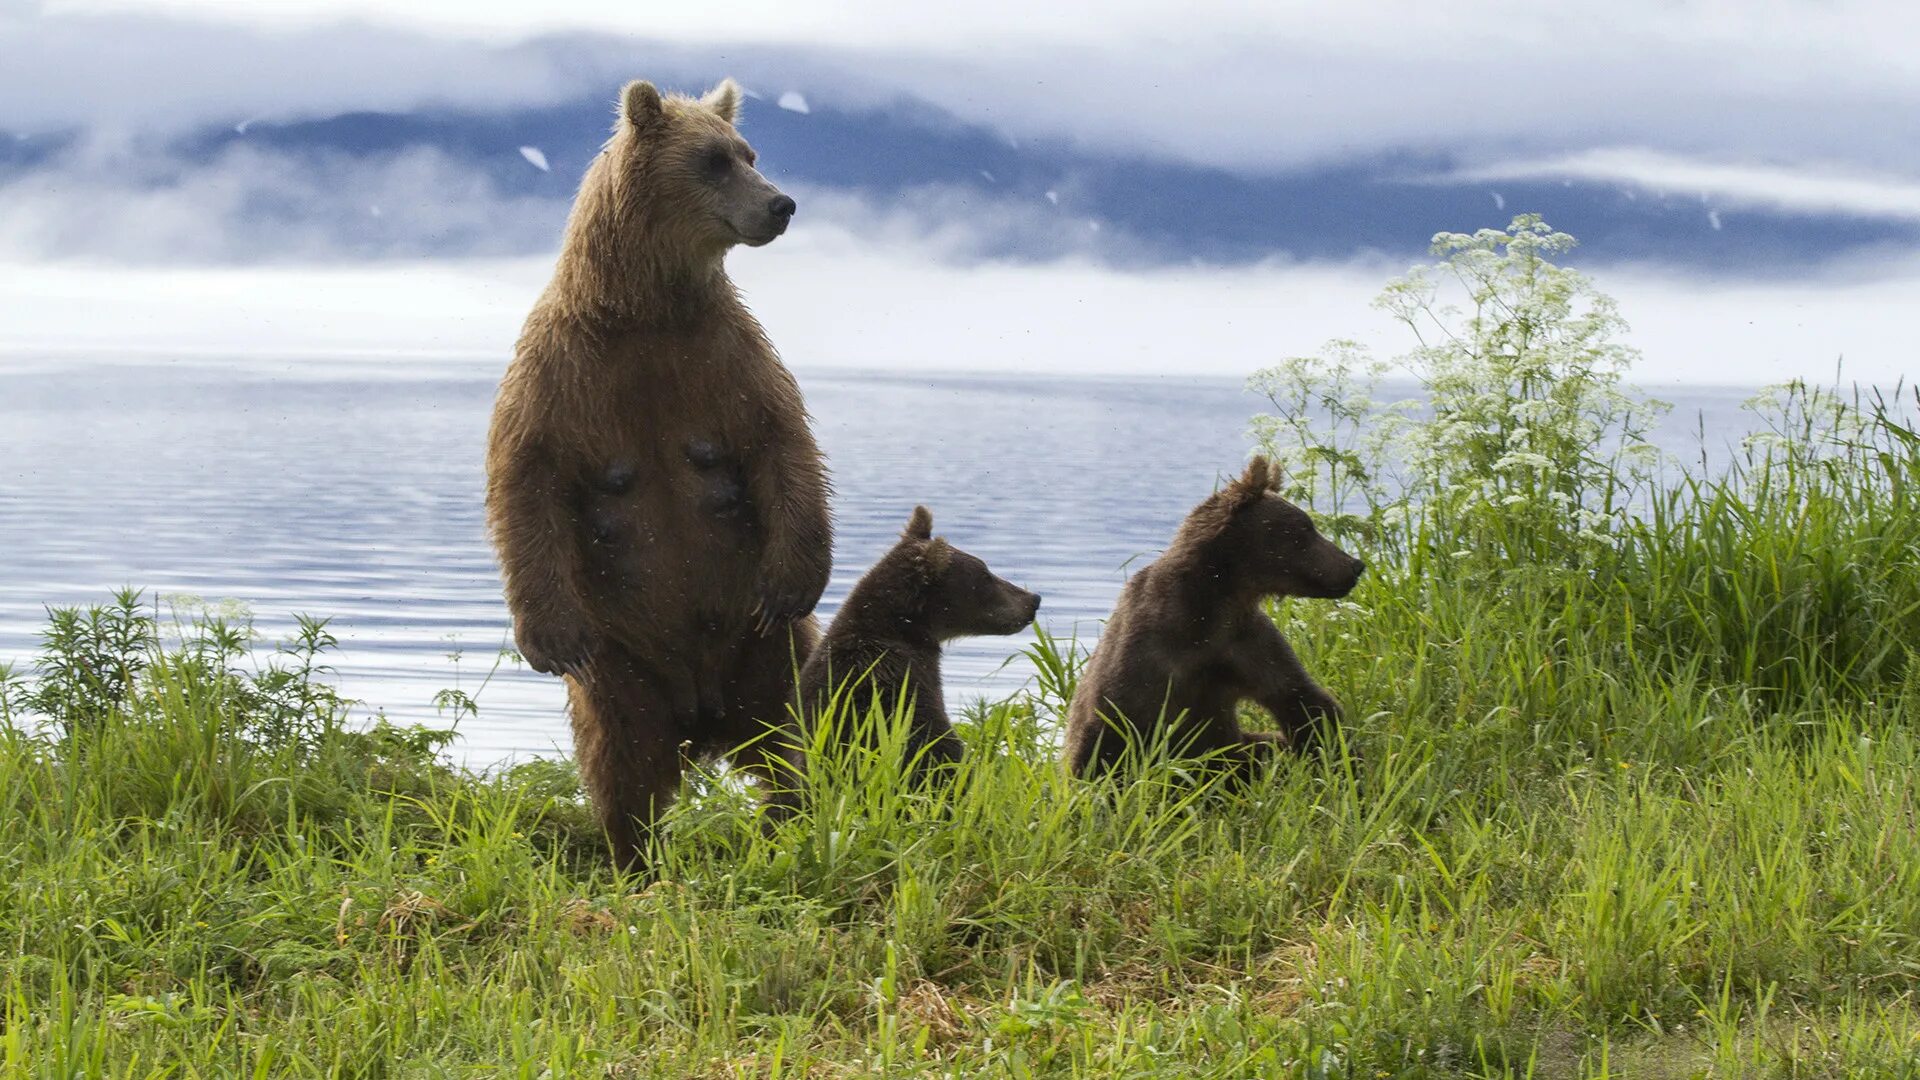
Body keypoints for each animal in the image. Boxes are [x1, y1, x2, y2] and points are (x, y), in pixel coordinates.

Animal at [483, 75, 829, 860]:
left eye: (748, 151)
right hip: (622, 665)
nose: (781, 203)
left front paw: (793, 579)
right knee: (620, 759)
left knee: (790, 740)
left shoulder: (724, 359)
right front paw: (547, 637)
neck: (641, 310)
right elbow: (525, 478)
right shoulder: (561, 373)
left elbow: (783, 445)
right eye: (713, 160)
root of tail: (703, 717)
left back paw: (786, 827)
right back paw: (633, 854)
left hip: (765, 656)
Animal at [1067, 453, 1367, 772]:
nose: (1355, 565)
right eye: (1304, 529)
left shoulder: (1244, 644)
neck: (1214, 605)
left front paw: (1344, 761)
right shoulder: (1148, 654)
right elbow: (1109, 727)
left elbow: (1301, 700)